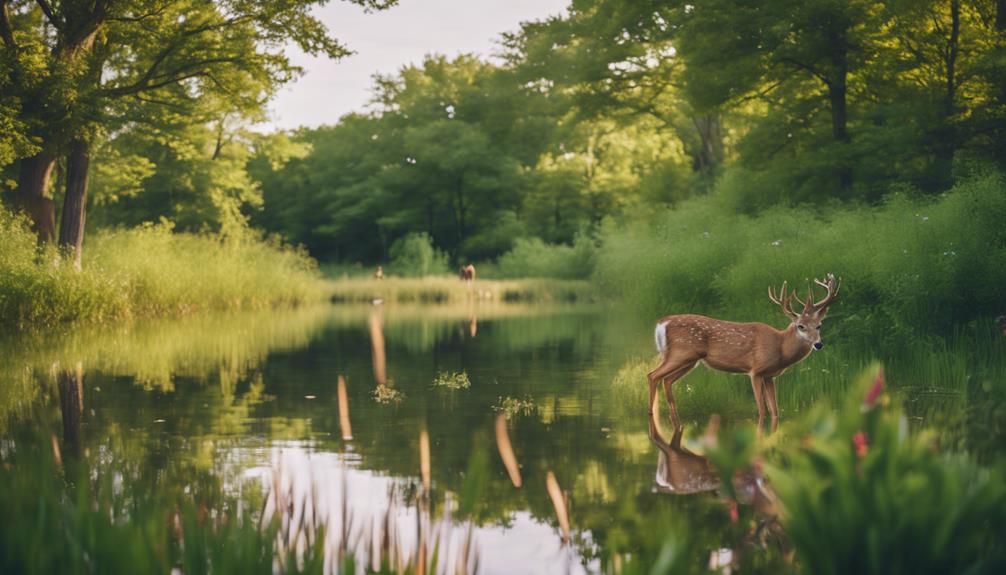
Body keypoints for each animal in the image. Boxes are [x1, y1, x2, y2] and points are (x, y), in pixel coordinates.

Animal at [643, 275, 841, 428]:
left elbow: (775, 410)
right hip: (680, 354)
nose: (818, 344)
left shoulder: (770, 376)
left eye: (819, 325)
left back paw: (673, 420)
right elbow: (762, 410)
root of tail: (661, 324)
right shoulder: (756, 371)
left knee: (666, 380)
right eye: (800, 326)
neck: (780, 347)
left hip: (689, 361)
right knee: (652, 375)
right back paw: (651, 416)